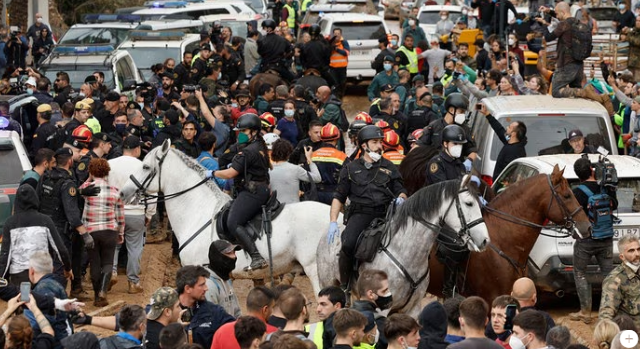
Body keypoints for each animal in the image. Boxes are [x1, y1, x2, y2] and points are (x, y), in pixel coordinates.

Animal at [316, 175, 490, 316]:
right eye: (469, 203)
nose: (485, 240)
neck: (406, 253)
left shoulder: (412, 309)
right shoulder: (382, 309)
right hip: (328, 285)